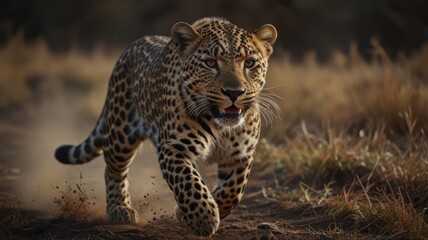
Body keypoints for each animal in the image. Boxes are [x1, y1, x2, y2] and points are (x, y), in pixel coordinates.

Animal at [54, 16, 278, 236]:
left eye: (250, 63)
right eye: (210, 63)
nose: (234, 93)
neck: (221, 127)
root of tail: (129, 49)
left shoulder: (241, 154)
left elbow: (234, 190)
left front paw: (193, 212)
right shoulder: (173, 148)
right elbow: (188, 182)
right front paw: (202, 217)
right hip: (120, 133)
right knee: (113, 170)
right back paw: (120, 209)